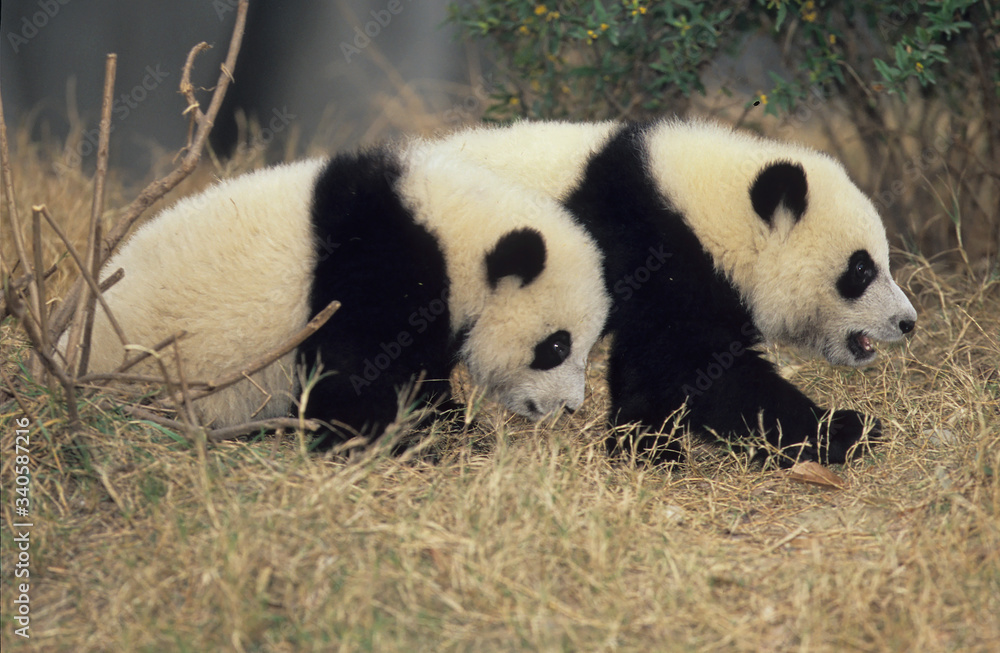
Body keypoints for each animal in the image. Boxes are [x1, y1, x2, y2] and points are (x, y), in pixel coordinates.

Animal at [77, 142, 610, 448]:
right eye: (556, 347)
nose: (570, 407)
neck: (454, 234)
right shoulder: (374, 271)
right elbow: (355, 376)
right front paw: (425, 434)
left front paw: (445, 419)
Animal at [438, 118, 918, 465]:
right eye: (861, 269)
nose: (907, 322)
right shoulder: (649, 250)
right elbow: (695, 368)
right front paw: (844, 430)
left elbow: (652, 368)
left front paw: (643, 444)